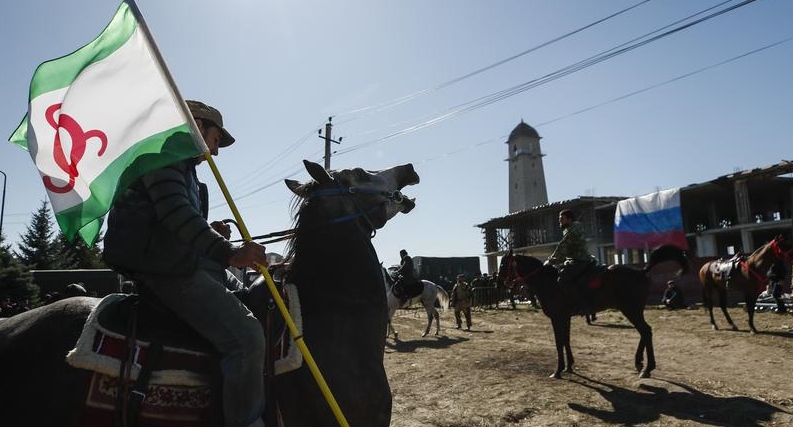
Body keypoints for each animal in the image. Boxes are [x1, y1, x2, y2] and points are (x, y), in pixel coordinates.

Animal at [496, 246, 688, 380]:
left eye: (504, 264)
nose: (498, 284)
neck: (548, 281)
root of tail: (641, 271)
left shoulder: (558, 318)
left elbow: (559, 342)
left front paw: (558, 370)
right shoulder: (565, 318)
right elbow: (566, 340)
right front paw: (568, 366)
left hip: (631, 309)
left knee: (646, 331)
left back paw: (647, 368)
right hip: (633, 310)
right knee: (644, 332)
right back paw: (639, 362)